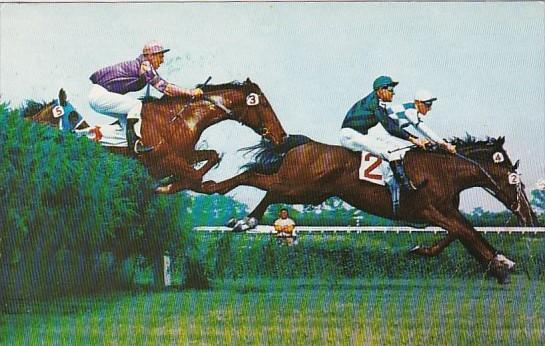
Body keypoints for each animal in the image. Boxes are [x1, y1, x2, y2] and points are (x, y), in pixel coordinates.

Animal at [21, 79, 284, 195]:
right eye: (265, 105)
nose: (282, 136)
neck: (179, 120)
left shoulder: (186, 155)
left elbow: (210, 158)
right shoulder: (166, 160)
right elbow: (195, 179)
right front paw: (169, 185)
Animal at [202, 134, 536, 282]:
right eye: (516, 180)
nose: (530, 216)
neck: (442, 170)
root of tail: (304, 144)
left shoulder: (445, 212)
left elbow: (461, 232)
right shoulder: (429, 210)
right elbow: (467, 232)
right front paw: (501, 263)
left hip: (308, 190)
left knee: (263, 185)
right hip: (298, 186)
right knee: (258, 181)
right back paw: (235, 211)